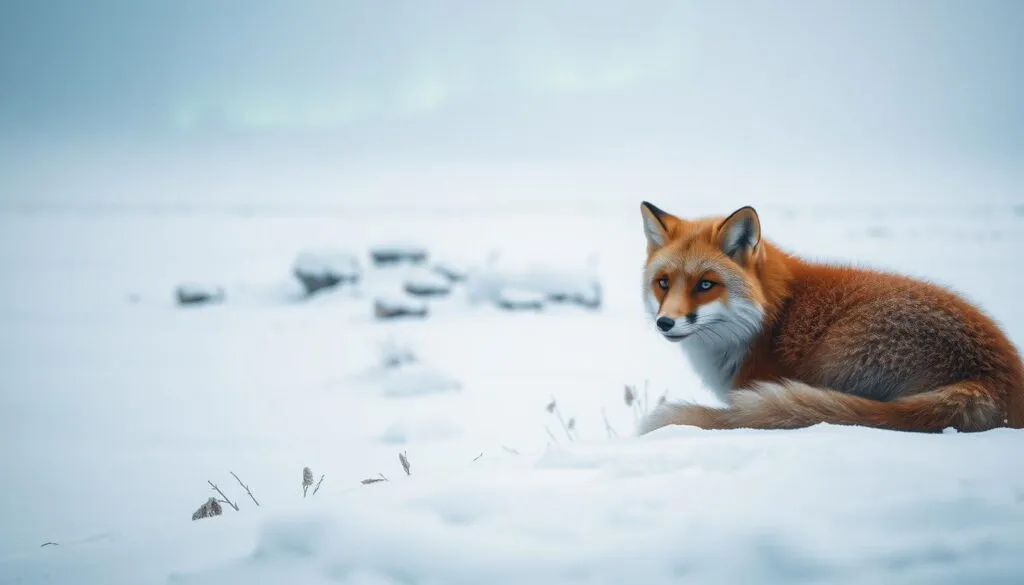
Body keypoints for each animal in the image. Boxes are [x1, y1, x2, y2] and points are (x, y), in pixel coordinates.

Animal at [638, 202, 1024, 434]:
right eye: (663, 283)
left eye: (706, 284)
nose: (665, 322)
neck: (772, 316)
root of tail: (993, 378)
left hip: (834, 353)